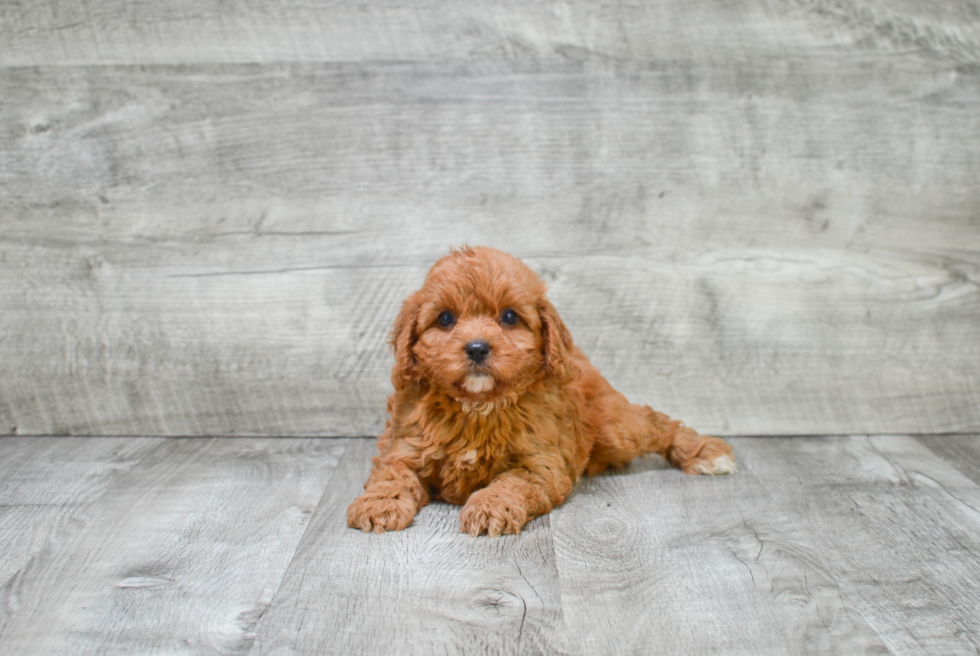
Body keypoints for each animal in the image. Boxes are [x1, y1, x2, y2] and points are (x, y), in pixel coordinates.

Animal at [346, 243, 736, 536]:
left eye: (509, 317)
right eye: (445, 319)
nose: (477, 348)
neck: (478, 406)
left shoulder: (541, 464)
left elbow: (512, 481)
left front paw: (489, 508)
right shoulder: (404, 447)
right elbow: (391, 475)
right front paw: (378, 503)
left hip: (616, 428)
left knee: (656, 422)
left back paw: (706, 453)